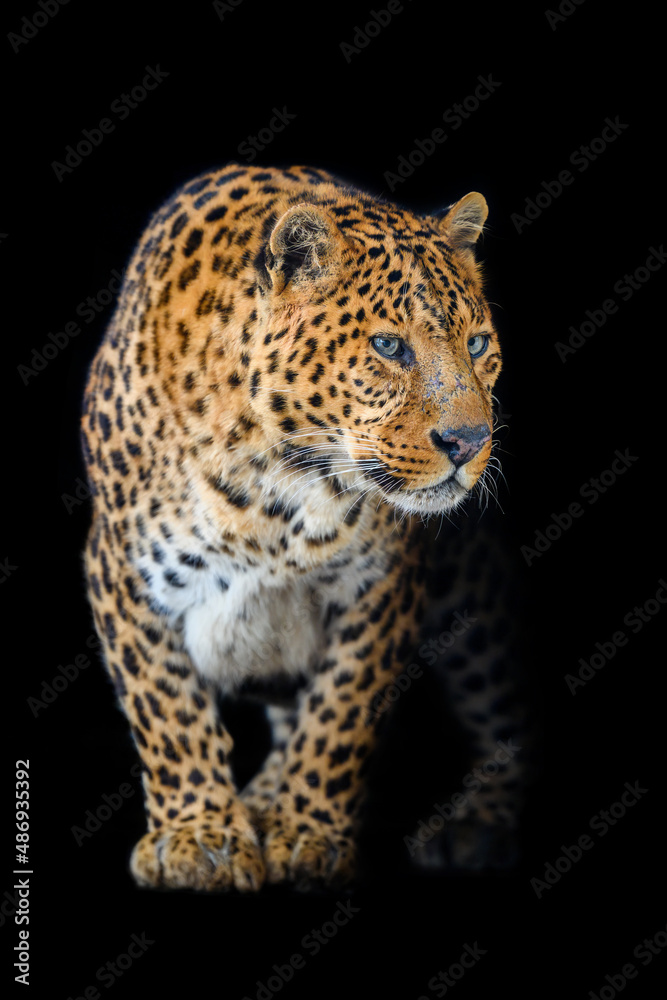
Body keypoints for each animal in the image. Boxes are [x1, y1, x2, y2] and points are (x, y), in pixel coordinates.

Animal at [81, 162, 529, 892]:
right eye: (387, 346)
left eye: (478, 345)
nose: (469, 442)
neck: (277, 480)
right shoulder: (120, 567)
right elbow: (167, 709)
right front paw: (200, 836)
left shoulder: (384, 581)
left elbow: (340, 711)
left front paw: (304, 830)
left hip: (476, 603)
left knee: (505, 706)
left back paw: (477, 824)